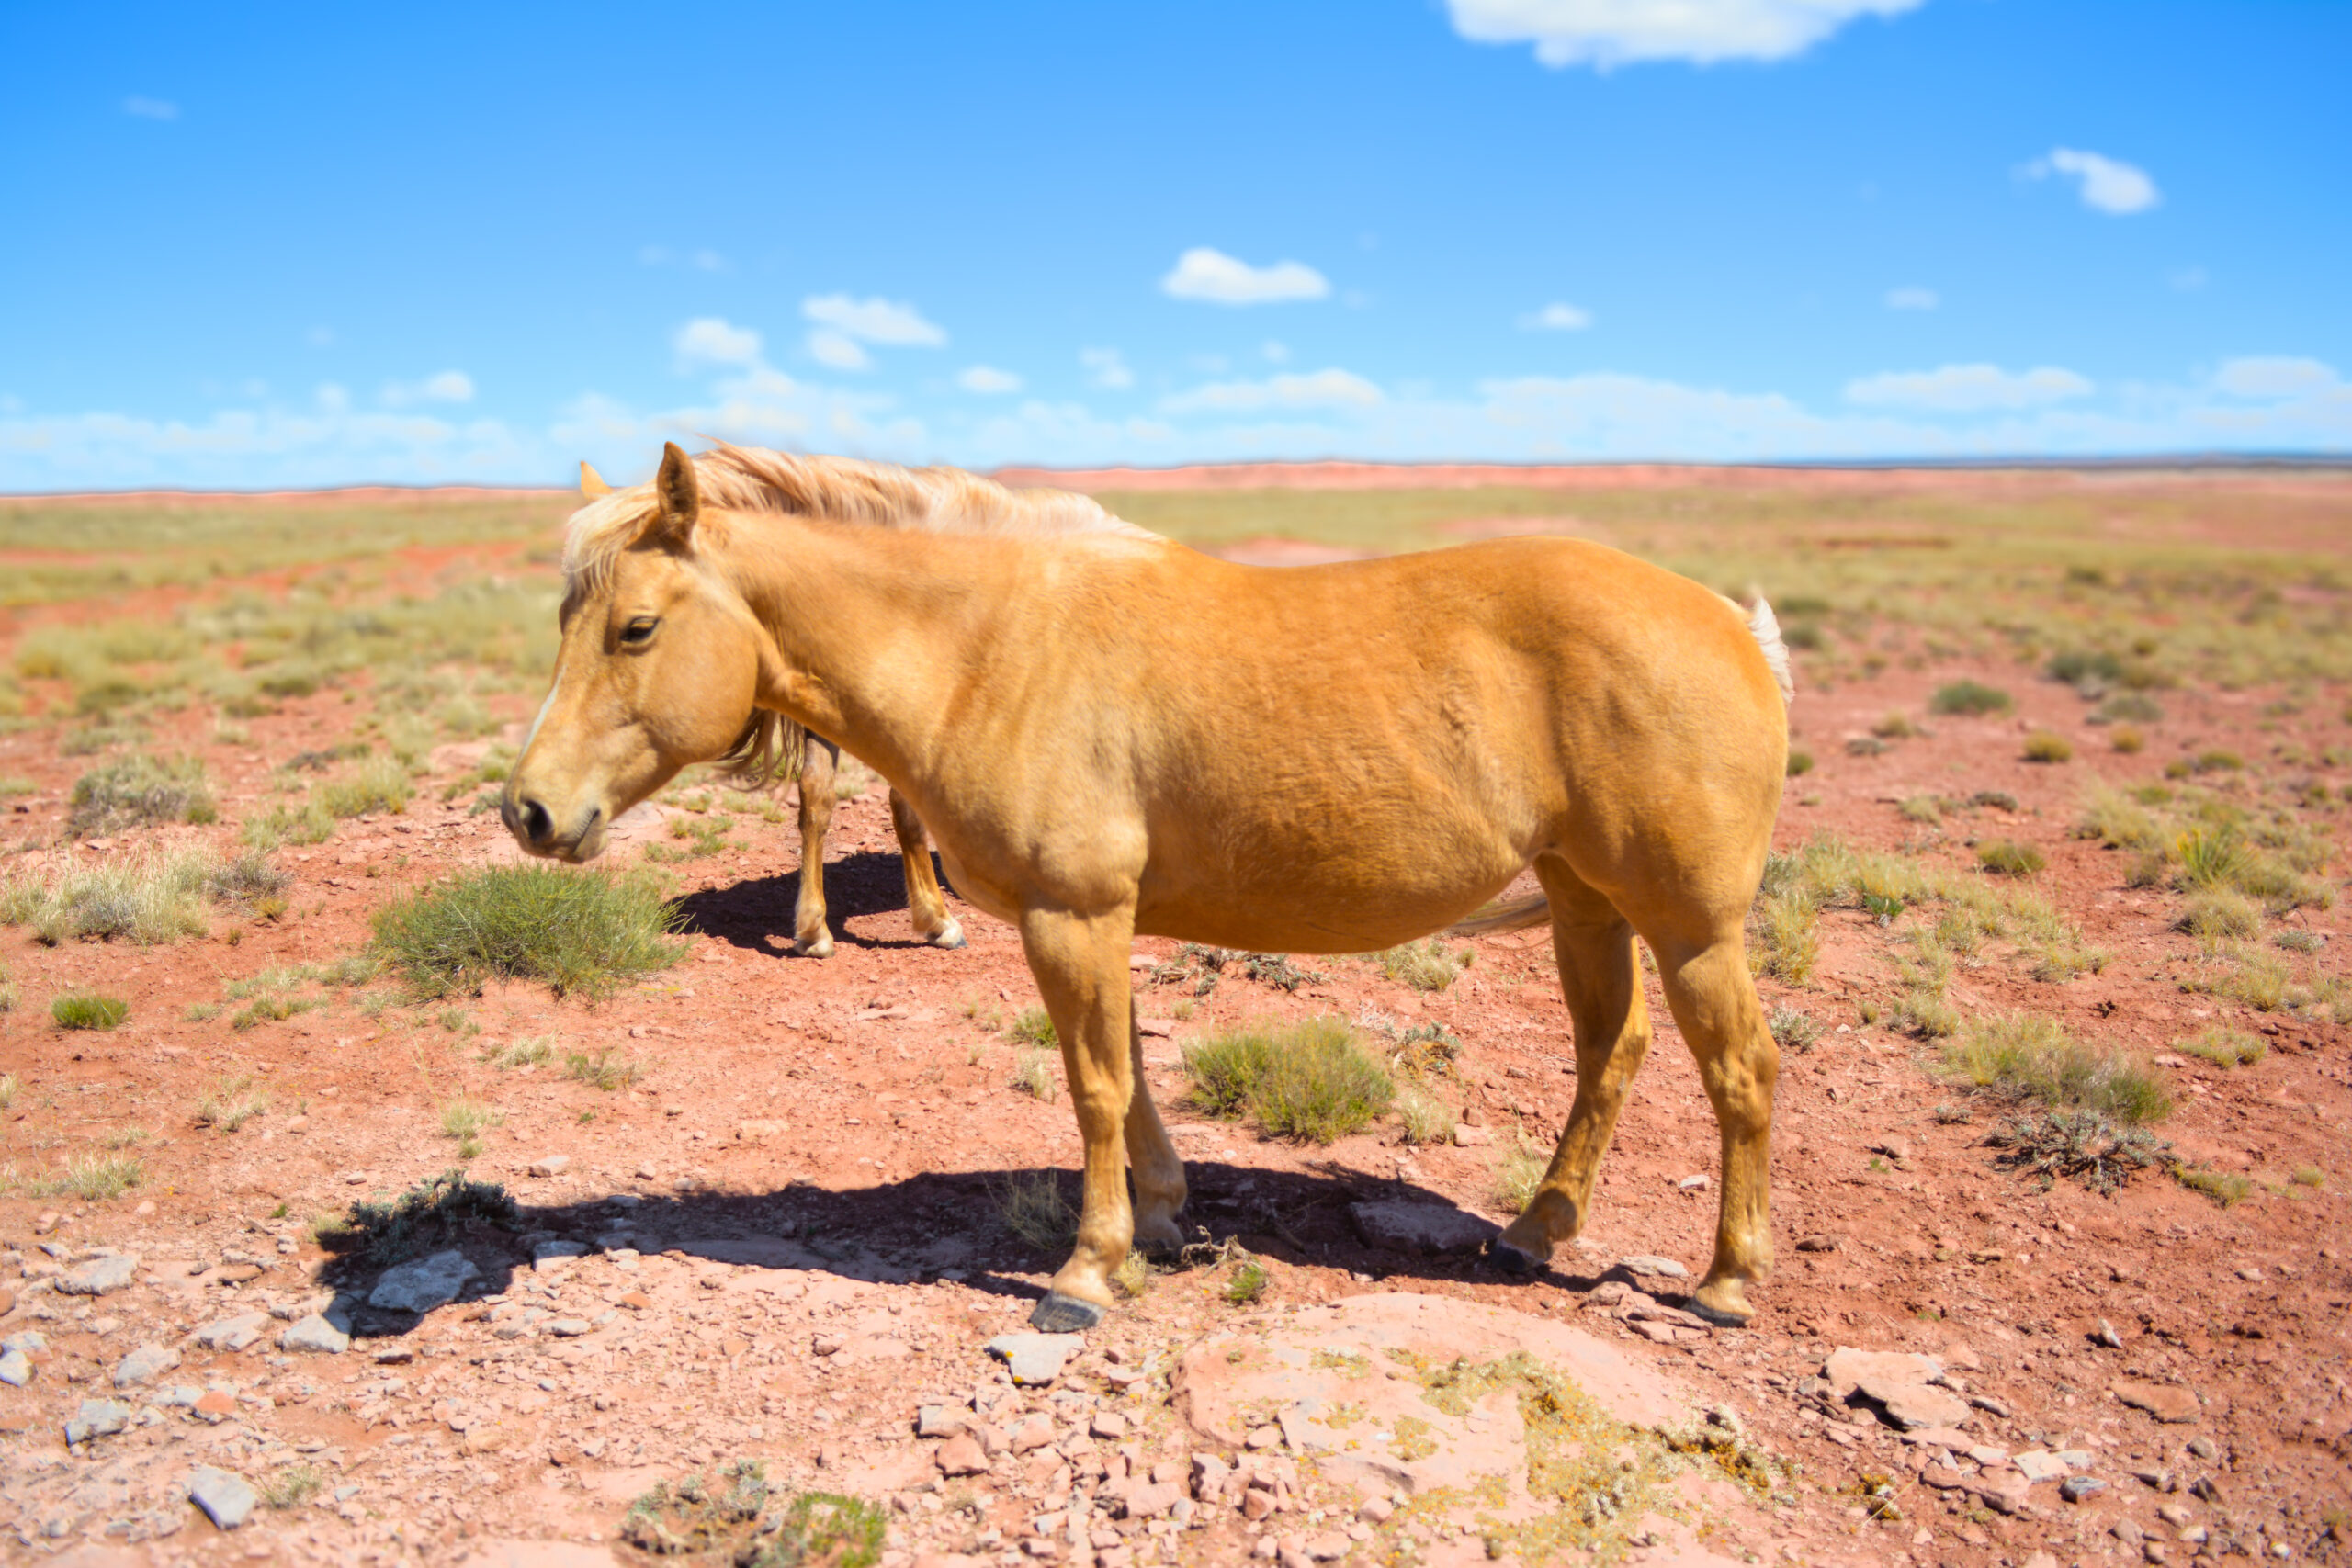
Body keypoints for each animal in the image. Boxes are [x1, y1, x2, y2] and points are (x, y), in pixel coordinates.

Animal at [506, 442, 1793, 1332]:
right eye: (566, 620)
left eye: (634, 628)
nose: (528, 812)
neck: (988, 647)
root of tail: (1730, 623)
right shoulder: (1090, 918)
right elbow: (1128, 1082)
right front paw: (1165, 1217)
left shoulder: (1070, 916)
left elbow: (1091, 1091)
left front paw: (1085, 1271)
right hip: (1584, 898)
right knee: (1609, 1051)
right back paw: (1534, 1229)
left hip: (1690, 926)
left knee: (1739, 1073)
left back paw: (1726, 1281)